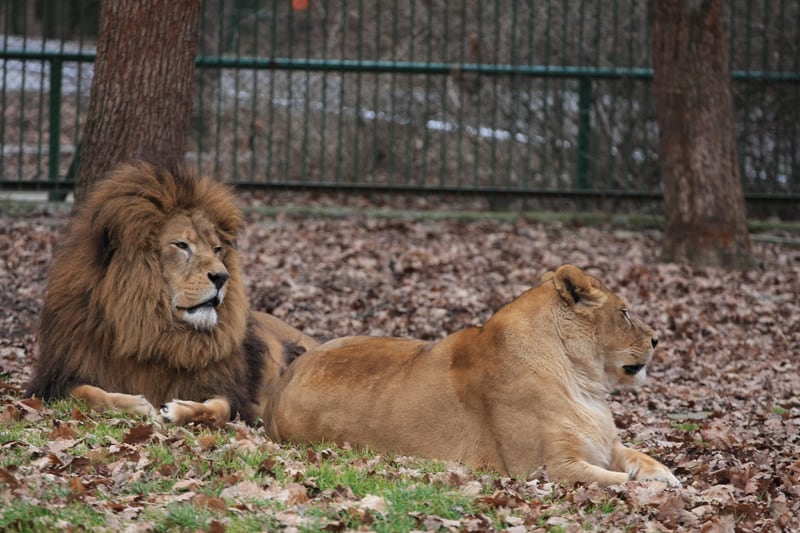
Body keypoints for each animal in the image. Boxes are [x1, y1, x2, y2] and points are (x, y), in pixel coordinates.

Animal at [25, 158, 318, 424]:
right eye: (181, 245)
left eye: (216, 249)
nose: (222, 276)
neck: (158, 335)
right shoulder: (54, 381)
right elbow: (89, 393)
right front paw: (138, 404)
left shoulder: (232, 391)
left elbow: (218, 407)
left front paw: (180, 408)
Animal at [266, 264, 680, 484]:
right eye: (624, 312)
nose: (658, 339)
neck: (583, 383)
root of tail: (284, 380)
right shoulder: (548, 467)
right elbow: (622, 481)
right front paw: (661, 489)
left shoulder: (605, 445)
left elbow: (641, 459)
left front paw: (667, 476)